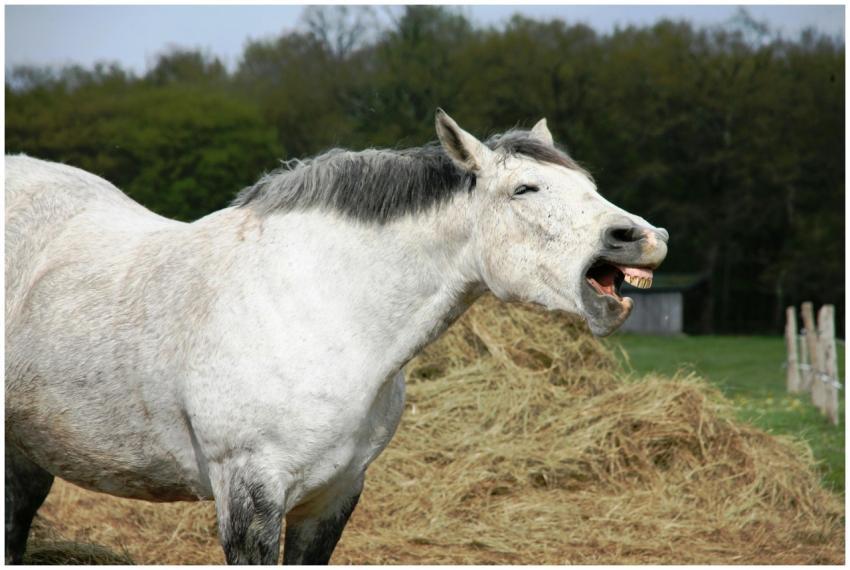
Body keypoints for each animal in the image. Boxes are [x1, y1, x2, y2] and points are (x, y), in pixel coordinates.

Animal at [5, 110, 667, 564]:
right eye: (524, 189)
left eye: (589, 186)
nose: (641, 237)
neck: (321, 310)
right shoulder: (248, 495)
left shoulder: (335, 495)